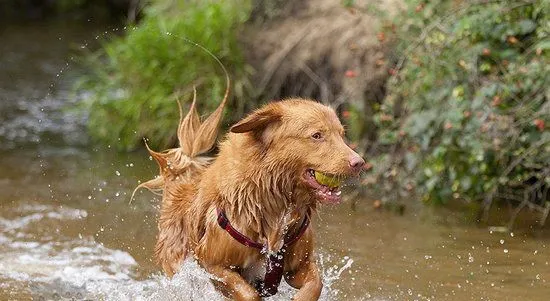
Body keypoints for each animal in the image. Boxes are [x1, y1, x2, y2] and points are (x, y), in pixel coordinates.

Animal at [135, 89, 364, 300]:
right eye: (317, 135)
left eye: (341, 134)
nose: (359, 162)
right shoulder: (213, 265)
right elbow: (248, 292)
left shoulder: (298, 266)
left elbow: (316, 284)